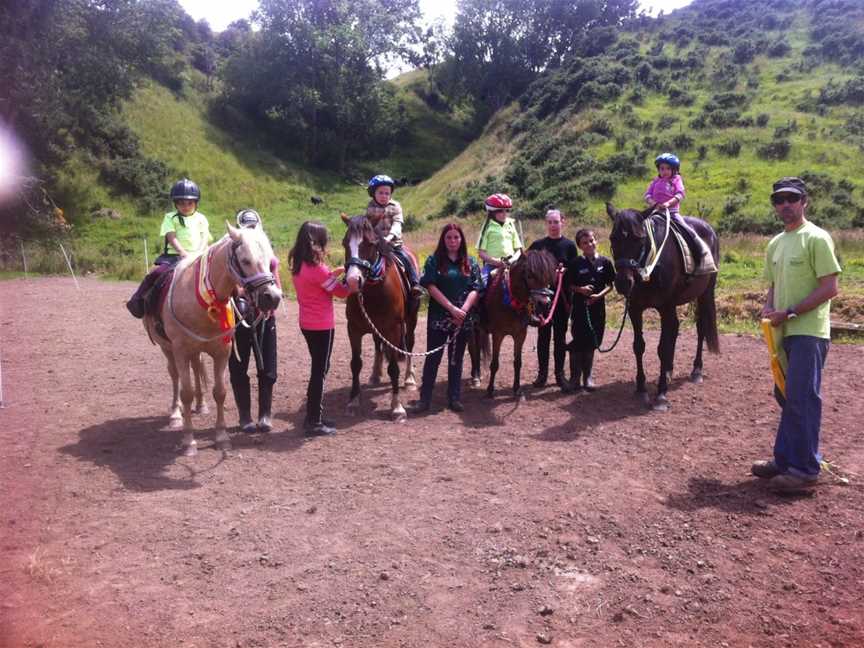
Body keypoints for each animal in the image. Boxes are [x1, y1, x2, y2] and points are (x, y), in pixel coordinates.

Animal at [144, 225, 280, 458]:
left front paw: (222, 438)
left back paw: (201, 405)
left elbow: (220, 392)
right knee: (175, 376)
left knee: (197, 368)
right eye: (245, 260)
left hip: (195, 351)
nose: (272, 297)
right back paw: (175, 415)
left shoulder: (221, 351)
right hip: (167, 348)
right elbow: (186, 393)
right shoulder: (180, 351)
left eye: (270, 259)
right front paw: (189, 441)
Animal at [342, 215, 420, 422]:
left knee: (409, 344)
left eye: (369, 243)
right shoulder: (354, 329)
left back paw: (409, 379)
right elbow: (355, 364)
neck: (373, 290)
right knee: (378, 346)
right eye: (345, 243)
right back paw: (375, 374)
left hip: (411, 320)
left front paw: (397, 407)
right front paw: (353, 400)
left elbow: (393, 368)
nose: (353, 281)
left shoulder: (393, 329)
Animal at [470, 252, 556, 400]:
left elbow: (517, 362)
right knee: (473, 350)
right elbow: (495, 364)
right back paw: (475, 377)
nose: (545, 304)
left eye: (547, 275)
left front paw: (517, 390)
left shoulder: (520, 334)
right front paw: (490, 390)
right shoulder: (498, 334)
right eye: (529, 276)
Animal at [608, 202, 724, 410]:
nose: (622, 282)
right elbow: (639, 346)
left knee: (701, 327)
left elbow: (662, 348)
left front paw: (661, 394)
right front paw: (641, 388)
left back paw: (696, 371)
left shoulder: (666, 307)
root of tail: (709, 229)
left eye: (639, 239)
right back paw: (669, 371)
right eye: (613, 238)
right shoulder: (635, 308)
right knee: (676, 329)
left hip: (704, 294)